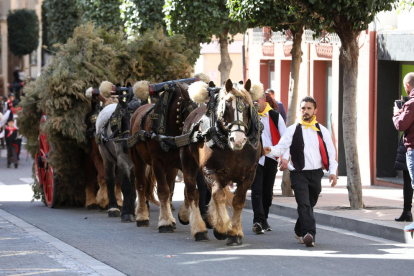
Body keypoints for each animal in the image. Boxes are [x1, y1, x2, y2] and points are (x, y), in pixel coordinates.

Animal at [129, 74, 209, 233]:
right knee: (140, 184)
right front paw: (165, 222)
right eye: (194, 112)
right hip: (138, 161)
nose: (202, 134)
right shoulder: (157, 163)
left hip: (171, 168)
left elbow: (187, 188)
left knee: (170, 185)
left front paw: (184, 215)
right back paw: (142, 216)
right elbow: (163, 191)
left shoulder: (183, 163)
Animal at [177, 78, 262, 245]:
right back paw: (199, 229)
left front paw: (234, 232)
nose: (238, 139)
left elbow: (238, 200)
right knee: (192, 193)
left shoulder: (249, 174)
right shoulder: (209, 170)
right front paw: (222, 228)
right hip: (188, 163)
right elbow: (219, 195)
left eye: (247, 107)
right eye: (227, 106)